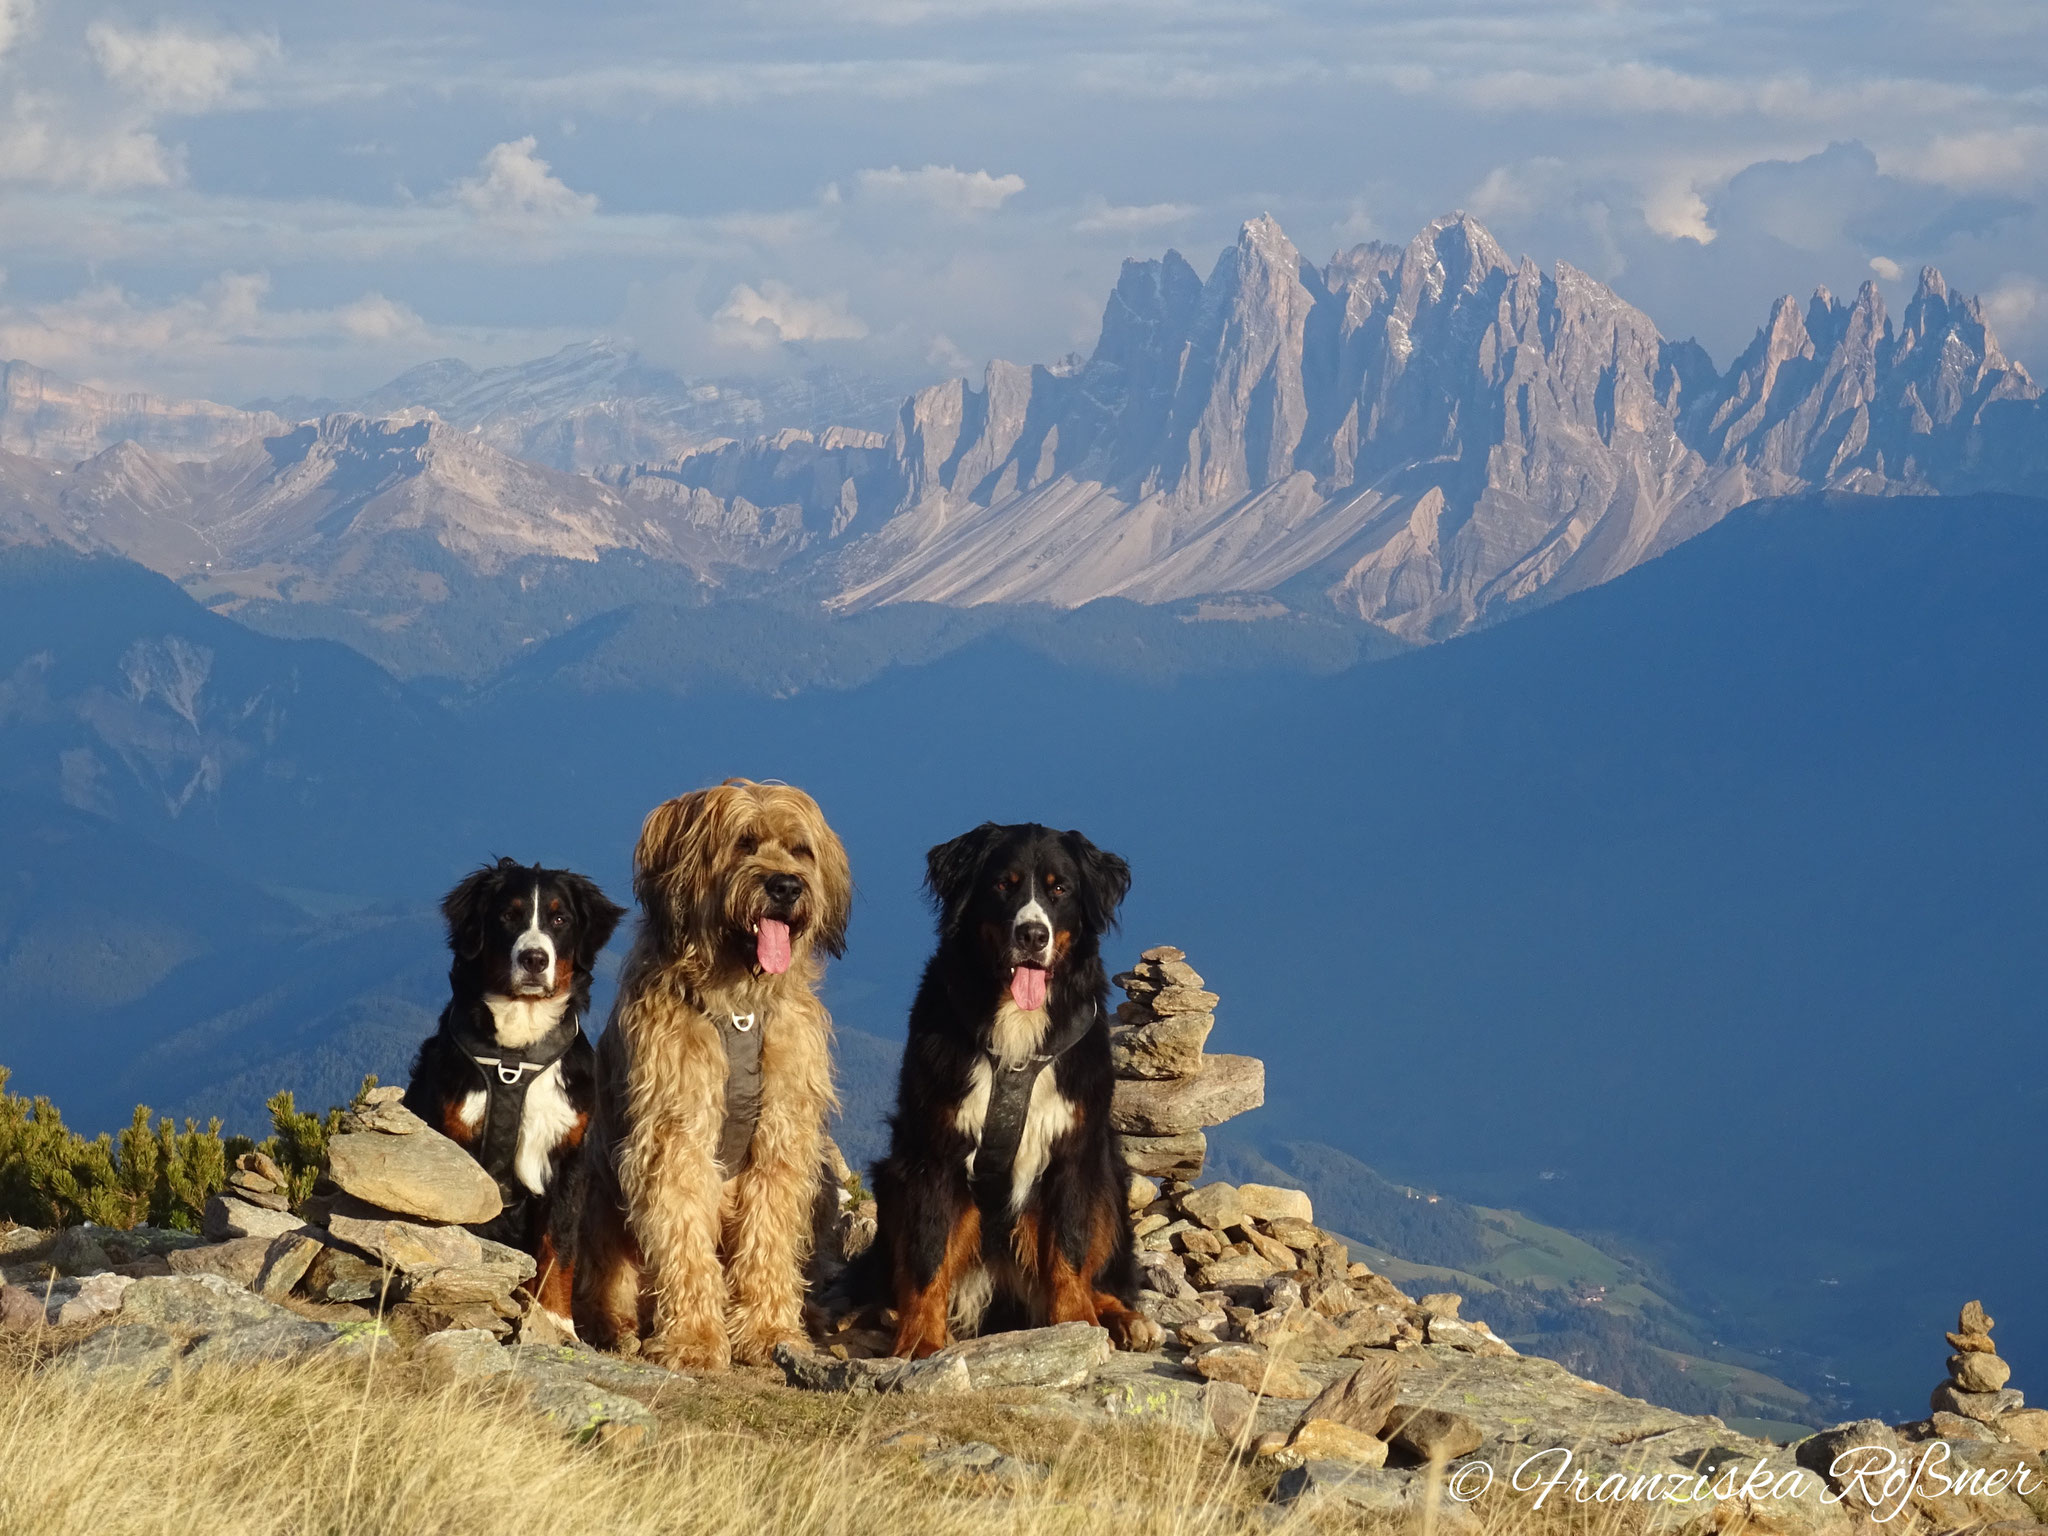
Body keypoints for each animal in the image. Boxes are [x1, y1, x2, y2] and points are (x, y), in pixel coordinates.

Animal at [401, 860, 618, 1327]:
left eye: (560, 919)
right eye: (507, 916)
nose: (534, 958)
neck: (516, 1054)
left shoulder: (569, 1156)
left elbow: (559, 1246)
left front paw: (555, 1320)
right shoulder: (458, 1151)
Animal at [573, 782, 851, 1368]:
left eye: (800, 850)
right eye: (743, 842)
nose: (786, 886)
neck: (739, 1005)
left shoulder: (782, 1136)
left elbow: (769, 1235)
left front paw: (769, 1330)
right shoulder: (674, 1132)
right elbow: (682, 1236)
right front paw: (694, 1339)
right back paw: (616, 1326)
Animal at [864, 831, 1163, 1359]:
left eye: (1060, 889)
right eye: (1003, 885)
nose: (1032, 935)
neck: (1018, 1033)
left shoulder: (1073, 1153)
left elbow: (1070, 1249)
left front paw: (1076, 1326)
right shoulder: (932, 1152)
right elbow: (926, 1253)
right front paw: (920, 1340)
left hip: (1107, 1179)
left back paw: (1127, 1319)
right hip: (893, 1179)